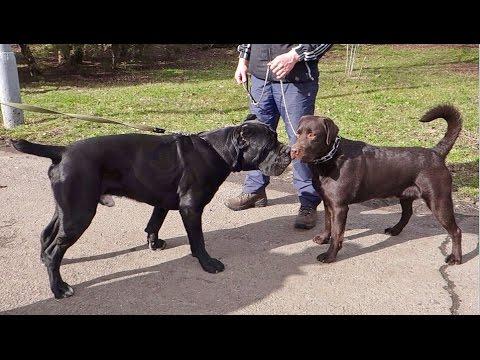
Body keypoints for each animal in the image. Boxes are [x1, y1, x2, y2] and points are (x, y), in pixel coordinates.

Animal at [9, 117, 290, 298]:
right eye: (269, 145)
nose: (288, 150)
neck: (219, 150)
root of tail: (63, 150)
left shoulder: (162, 201)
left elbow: (155, 222)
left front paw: (154, 243)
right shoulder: (191, 207)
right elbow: (197, 240)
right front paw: (207, 263)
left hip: (67, 209)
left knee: (47, 235)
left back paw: (46, 264)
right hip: (79, 213)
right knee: (55, 249)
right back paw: (58, 288)